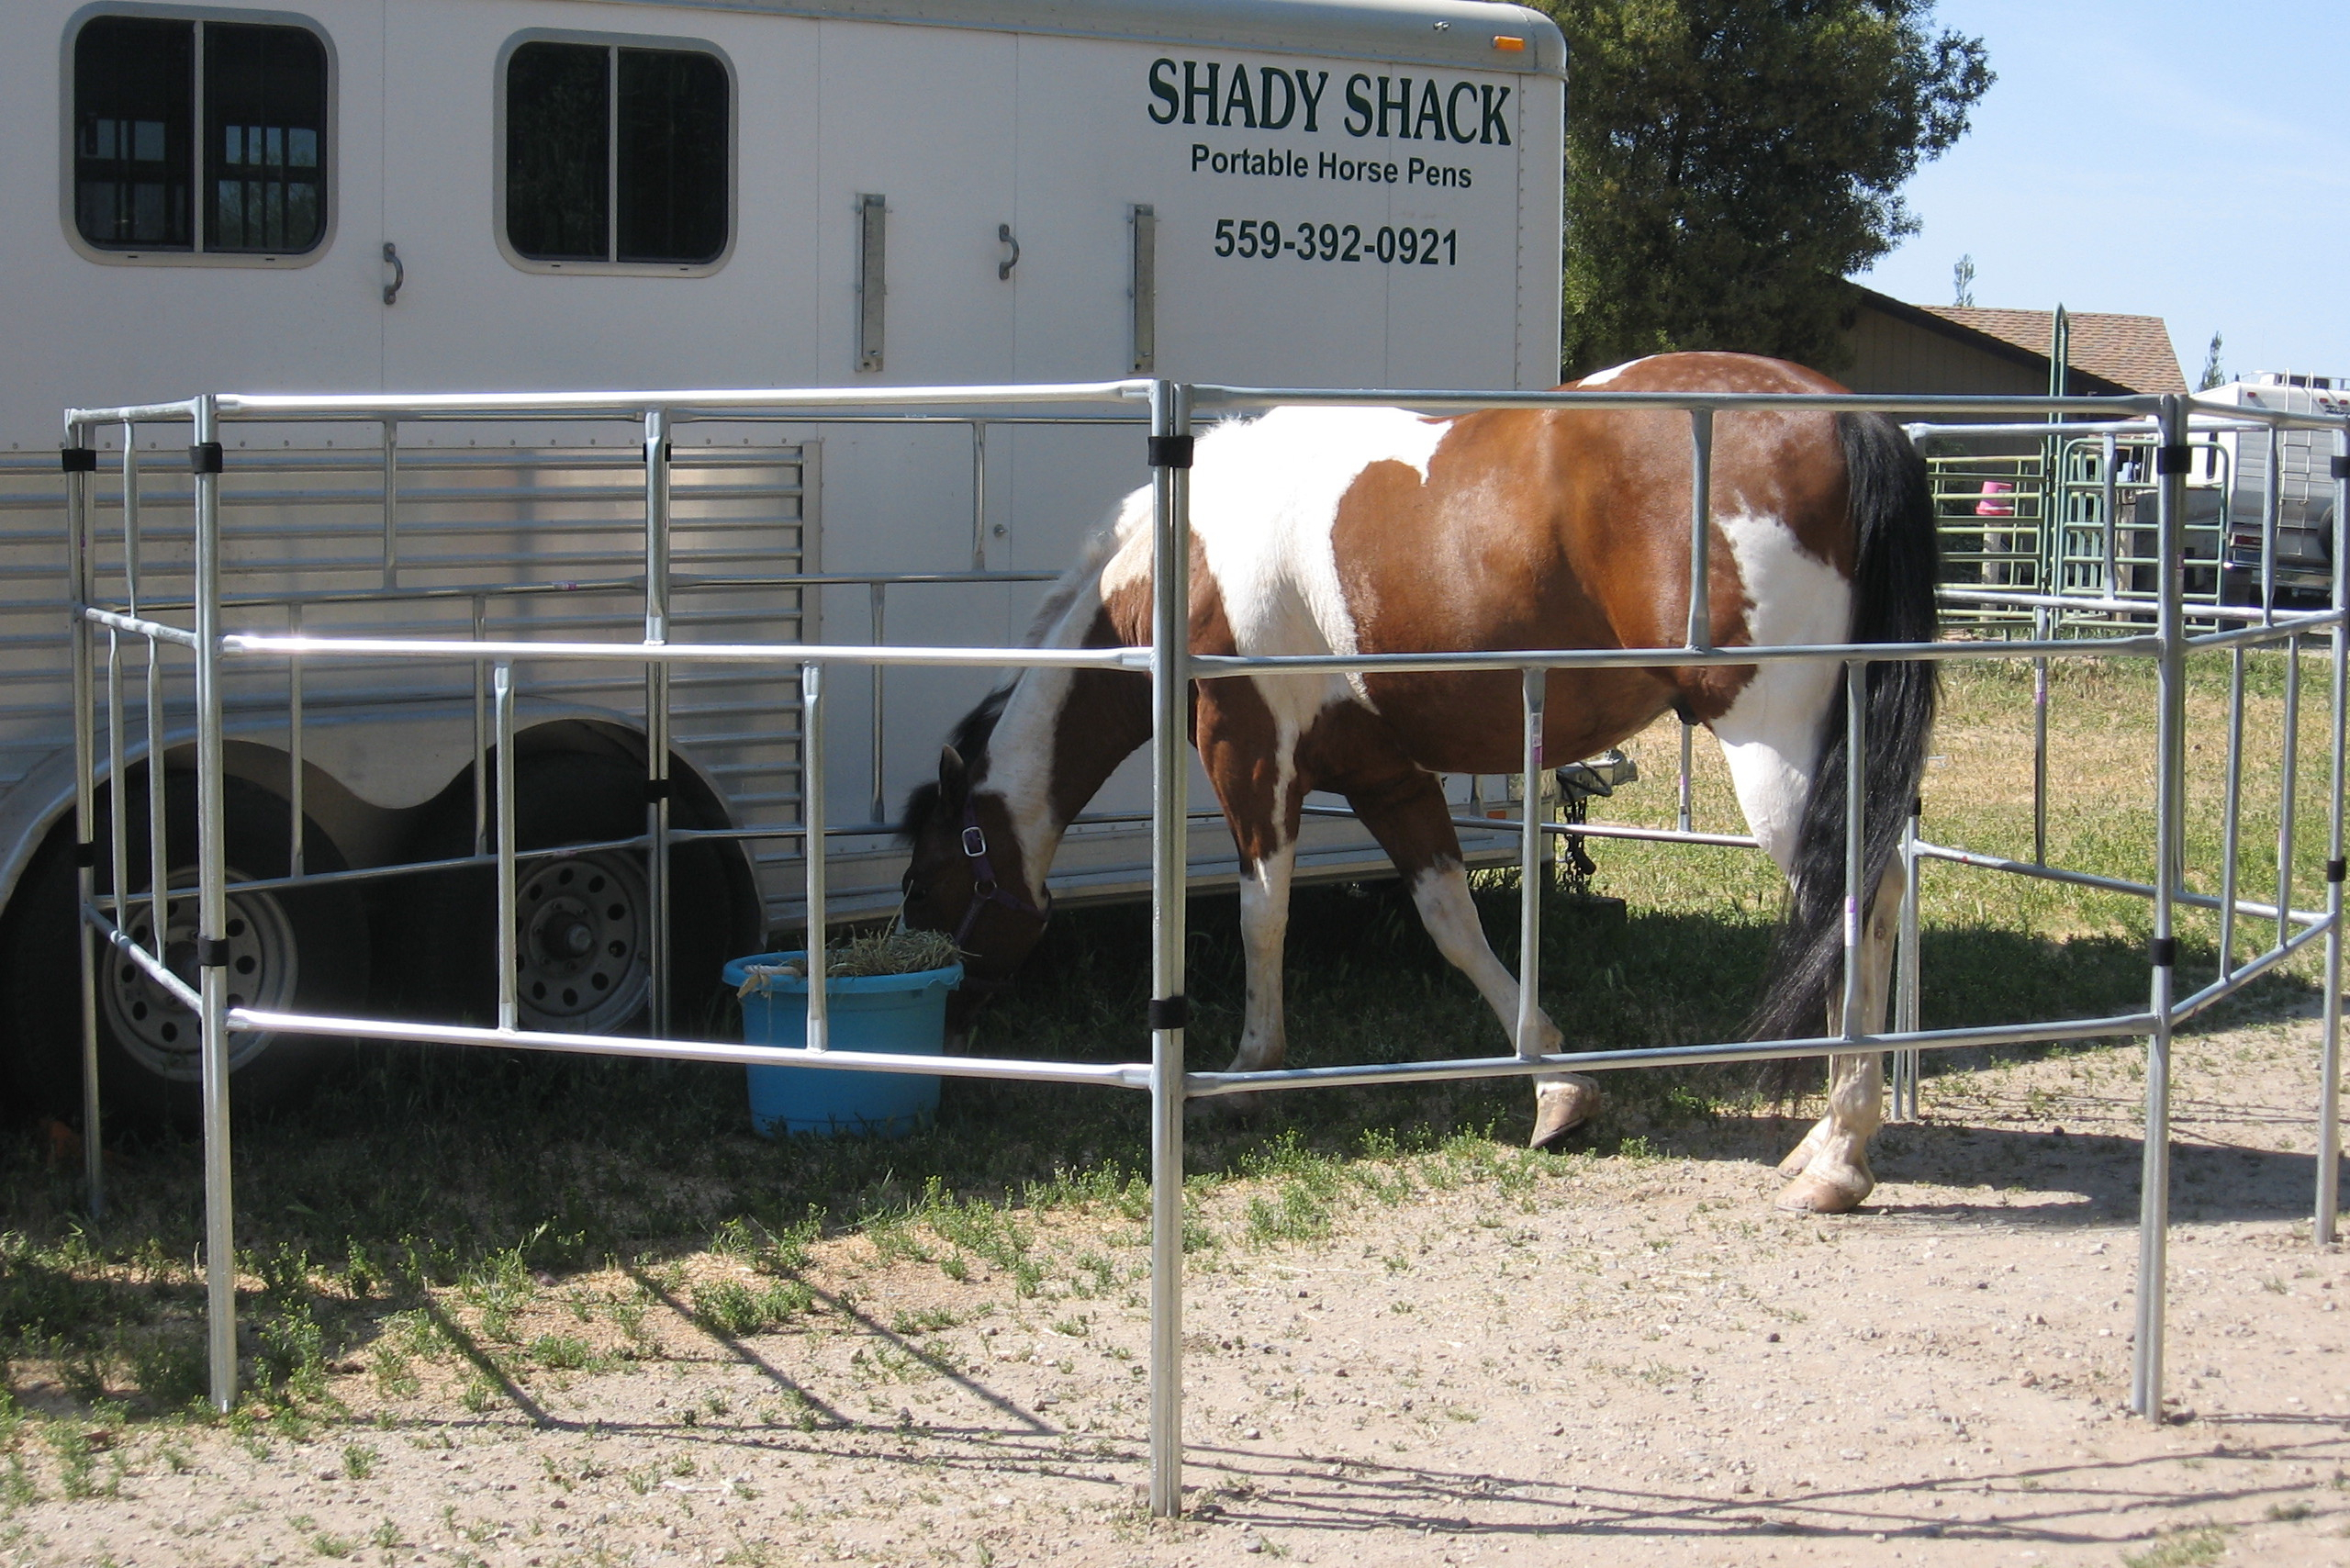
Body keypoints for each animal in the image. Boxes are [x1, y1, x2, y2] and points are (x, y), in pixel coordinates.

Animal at [892, 354, 1927, 1213]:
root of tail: (1849, 417)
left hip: (1774, 745)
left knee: (1853, 895)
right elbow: (1451, 922)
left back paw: (1838, 1157)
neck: (1186, 563)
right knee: (1860, 903)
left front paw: (1250, 1071)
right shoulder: (1385, 775)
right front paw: (1555, 1087)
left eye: (926, 882)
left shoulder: (1248, 755)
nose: (952, 1020)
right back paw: (1821, 1139)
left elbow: (1260, 913)